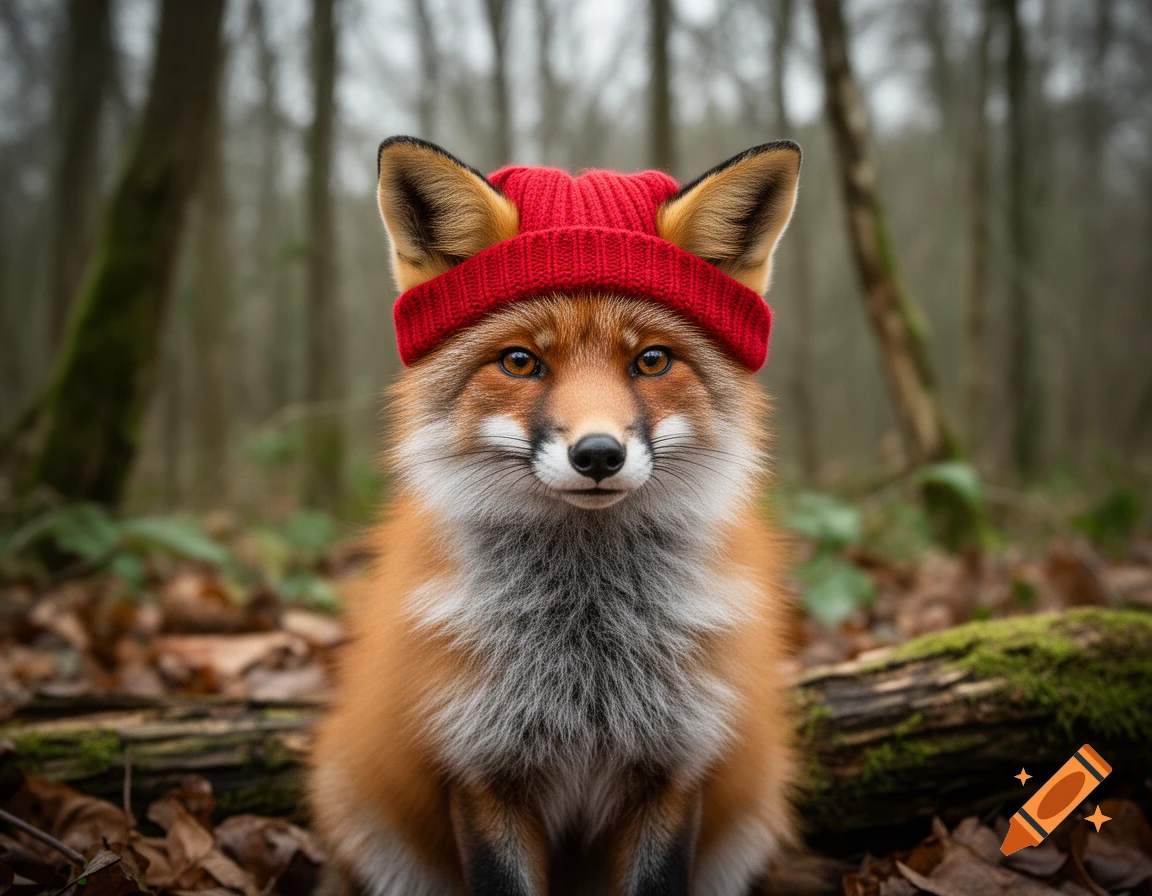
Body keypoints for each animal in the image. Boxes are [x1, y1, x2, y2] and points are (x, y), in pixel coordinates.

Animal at [309, 136, 814, 895]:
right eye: (521, 362)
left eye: (651, 360)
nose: (598, 454)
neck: (584, 645)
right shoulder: (480, 767)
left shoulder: (675, 764)